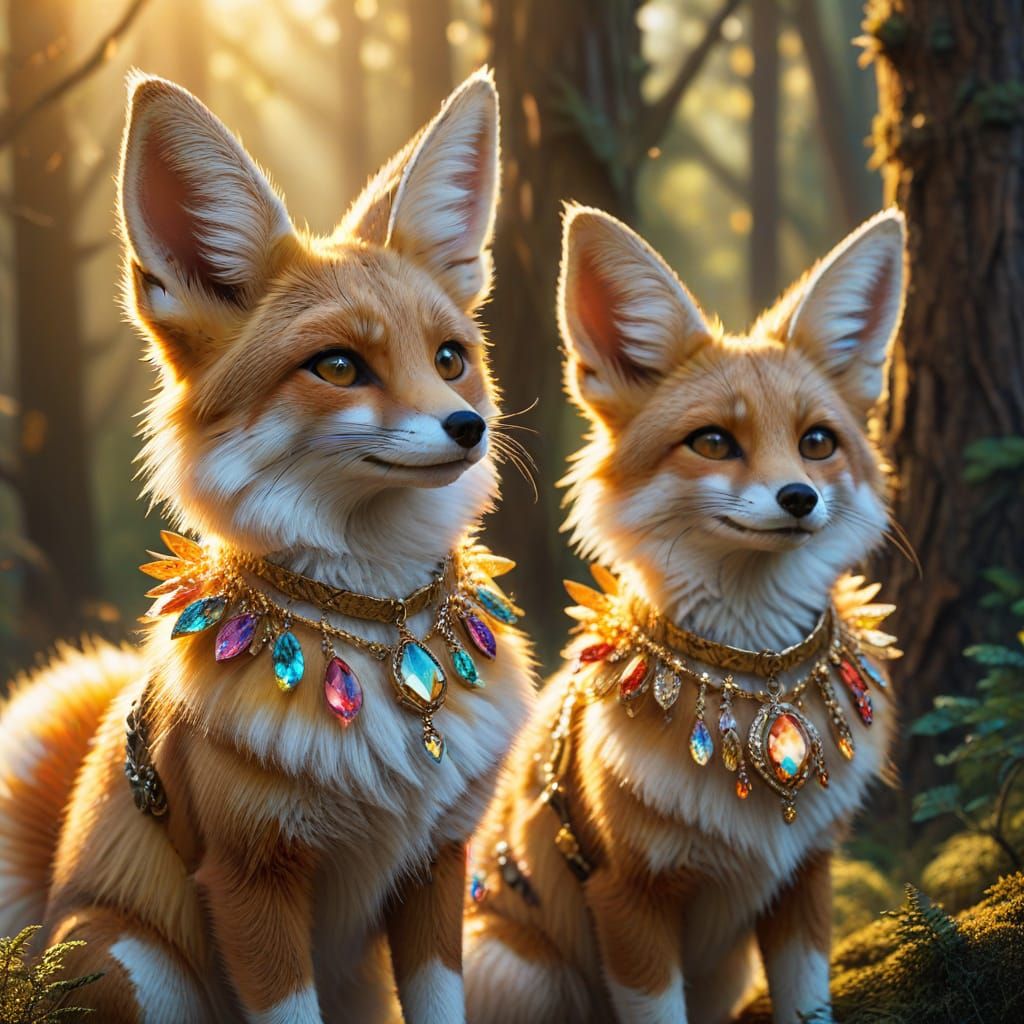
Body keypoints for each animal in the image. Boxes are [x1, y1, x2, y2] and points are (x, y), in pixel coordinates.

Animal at [0, 70, 535, 1023]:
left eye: (450, 359)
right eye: (338, 367)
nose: (469, 428)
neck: (380, 632)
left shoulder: (435, 868)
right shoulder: (252, 882)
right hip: (144, 968)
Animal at [463, 206, 908, 1024]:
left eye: (817, 442)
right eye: (713, 442)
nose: (799, 498)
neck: (757, 682)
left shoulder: (805, 881)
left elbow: (808, 1003)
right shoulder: (628, 898)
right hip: (526, 975)